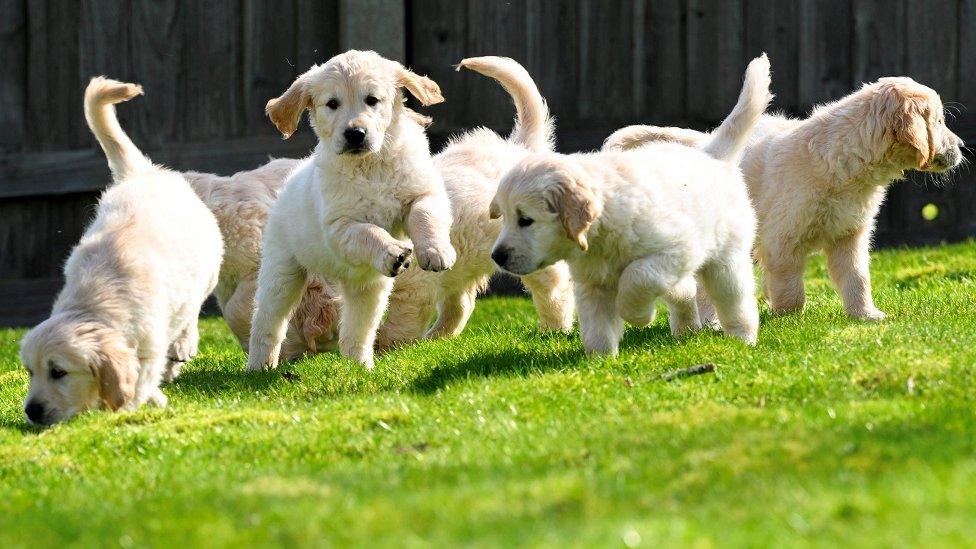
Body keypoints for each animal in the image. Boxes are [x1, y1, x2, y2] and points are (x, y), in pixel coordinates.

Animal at [20, 78, 222, 424]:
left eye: (58, 372)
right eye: (30, 372)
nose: (32, 412)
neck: (93, 304)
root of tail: (140, 174)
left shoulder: (150, 344)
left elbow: (139, 380)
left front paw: (127, 409)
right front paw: (154, 399)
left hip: (208, 267)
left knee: (191, 310)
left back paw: (184, 344)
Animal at [246, 50, 456, 368]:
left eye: (372, 99)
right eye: (332, 104)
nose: (355, 133)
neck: (370, 166)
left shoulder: (423, 193)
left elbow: (425, 215)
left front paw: (435, 251)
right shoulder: (340, 227)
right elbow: (369, 231)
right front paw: (392, 250)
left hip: (368, 287)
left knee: (357, 330)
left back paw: (361, 366)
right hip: (282, 271)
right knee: (268, 321)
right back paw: (260, 366)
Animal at [488, 55, 772, 356]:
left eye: (526, 220)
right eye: (505, 218)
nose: (497, 257)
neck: (601, 231)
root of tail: (712, 154)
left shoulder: (674, 251)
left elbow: (636, 279)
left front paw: (640, 316)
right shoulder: (592, 283)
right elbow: (597, 325)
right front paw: (601, 360)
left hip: (726, 261)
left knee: (735, 302)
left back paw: (742, 339)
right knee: (685, 292)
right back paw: (685, 329)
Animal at [608, 75, 964, 318]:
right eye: (939, 120)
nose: (962, 146)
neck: (845, 164)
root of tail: (703, 144)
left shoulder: (849, 235)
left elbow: (857, 277)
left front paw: (865, 315)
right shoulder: (783, 239)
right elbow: (790, 286)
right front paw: (789, 319)